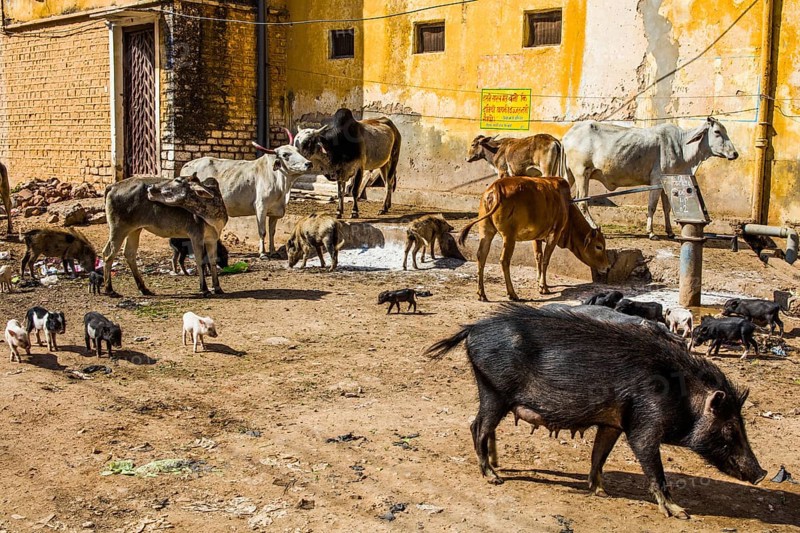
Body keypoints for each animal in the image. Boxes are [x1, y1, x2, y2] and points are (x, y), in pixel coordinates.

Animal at [180, 138, 312, 258]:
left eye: (297, 150)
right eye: (285, 154)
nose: (309, 163)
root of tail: (186, 165)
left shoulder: (275, 212)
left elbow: (272, 232)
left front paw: (273, 252)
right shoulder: (261, 207)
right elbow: (262, 232)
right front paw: (263, 253)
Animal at [426, 304, 766, 519]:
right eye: (730, 427)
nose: (762, 473)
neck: (683, 394)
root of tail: (472, 329)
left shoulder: (613, 423)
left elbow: (599, 455)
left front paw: (601, 491)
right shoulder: (644, 425)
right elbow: (655, 468)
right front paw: (679, 514)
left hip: (496, 396)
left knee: (486, 428)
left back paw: (498, 467)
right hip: (493, 391)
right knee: (477, 426)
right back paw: (493, 477)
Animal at [458, 176, 611, 301]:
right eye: (599, 246)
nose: (608, 267)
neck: (567, 205)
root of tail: (497, 187)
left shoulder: (536, 236)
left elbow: (538, 256)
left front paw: (539, 281)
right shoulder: (554, 234)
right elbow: (545, 260)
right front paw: (543, 287)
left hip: (486, 231)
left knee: (481, 256)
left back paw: (482, 294)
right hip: (509, 236)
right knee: (504, 260)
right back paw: (512, 293)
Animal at [562, 117, 738, 239]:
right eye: (717, 132)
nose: (735, 154)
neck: (682, 147)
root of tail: (568, 135)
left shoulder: (666, 182)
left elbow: (667, 208)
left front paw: (670, 232)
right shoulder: (656, 180)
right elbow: (652, 206)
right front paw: (651, 232)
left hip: (570, 174)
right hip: (582, 174)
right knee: (582, 202)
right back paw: (594, 226)